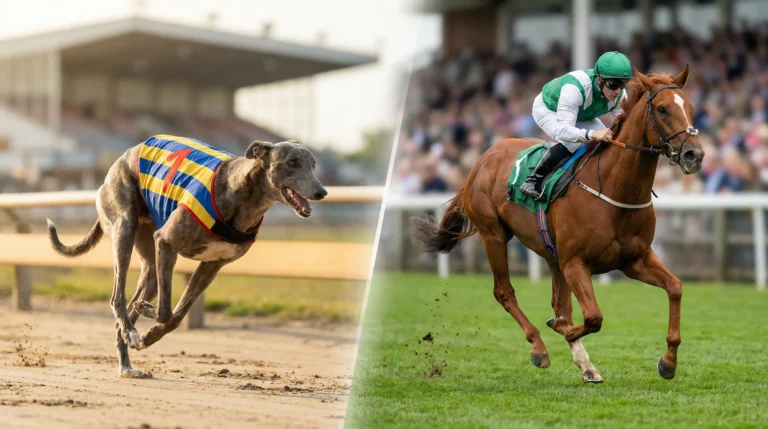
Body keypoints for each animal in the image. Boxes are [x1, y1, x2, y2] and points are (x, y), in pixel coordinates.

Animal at [412, 65, 704, 383]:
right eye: (662, 109)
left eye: (690, 108)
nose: (694, 155)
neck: (615, 190)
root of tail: (483, 157)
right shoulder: (576, 262)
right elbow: (593, 317)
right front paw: (559, 328)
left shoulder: (634, 260)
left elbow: (675, 287)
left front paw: (669, 361)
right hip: (494, 235)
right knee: (505, 292)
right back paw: (539, 347)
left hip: (552, 254)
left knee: (559, 303)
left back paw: (585, 364)